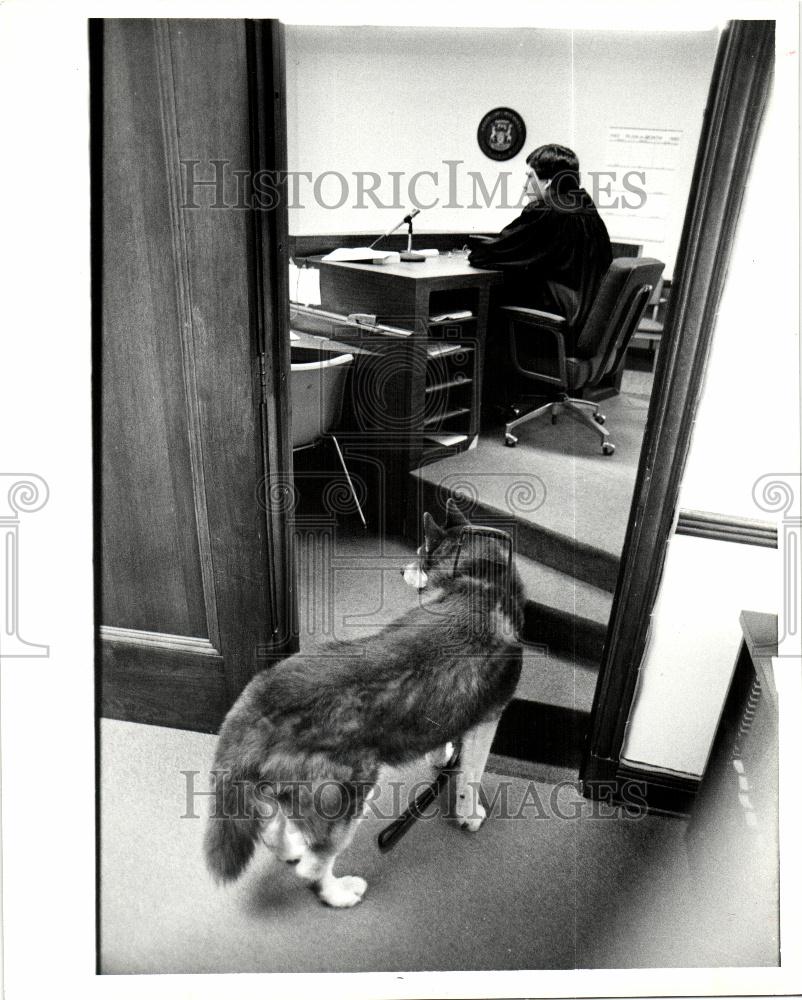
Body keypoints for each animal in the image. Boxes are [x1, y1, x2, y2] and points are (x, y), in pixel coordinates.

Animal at [203, 500, 520, 908]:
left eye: (420, 552)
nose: (402, 569)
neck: (479, 580)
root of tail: (256, 703)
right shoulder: (490, 715)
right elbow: (472, 776)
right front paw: (468, 813)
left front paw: (441, 756)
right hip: (347, 794)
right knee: (314, 865)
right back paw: (338, 892)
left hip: (286, 789)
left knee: (273, 830)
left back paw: (290, 848)